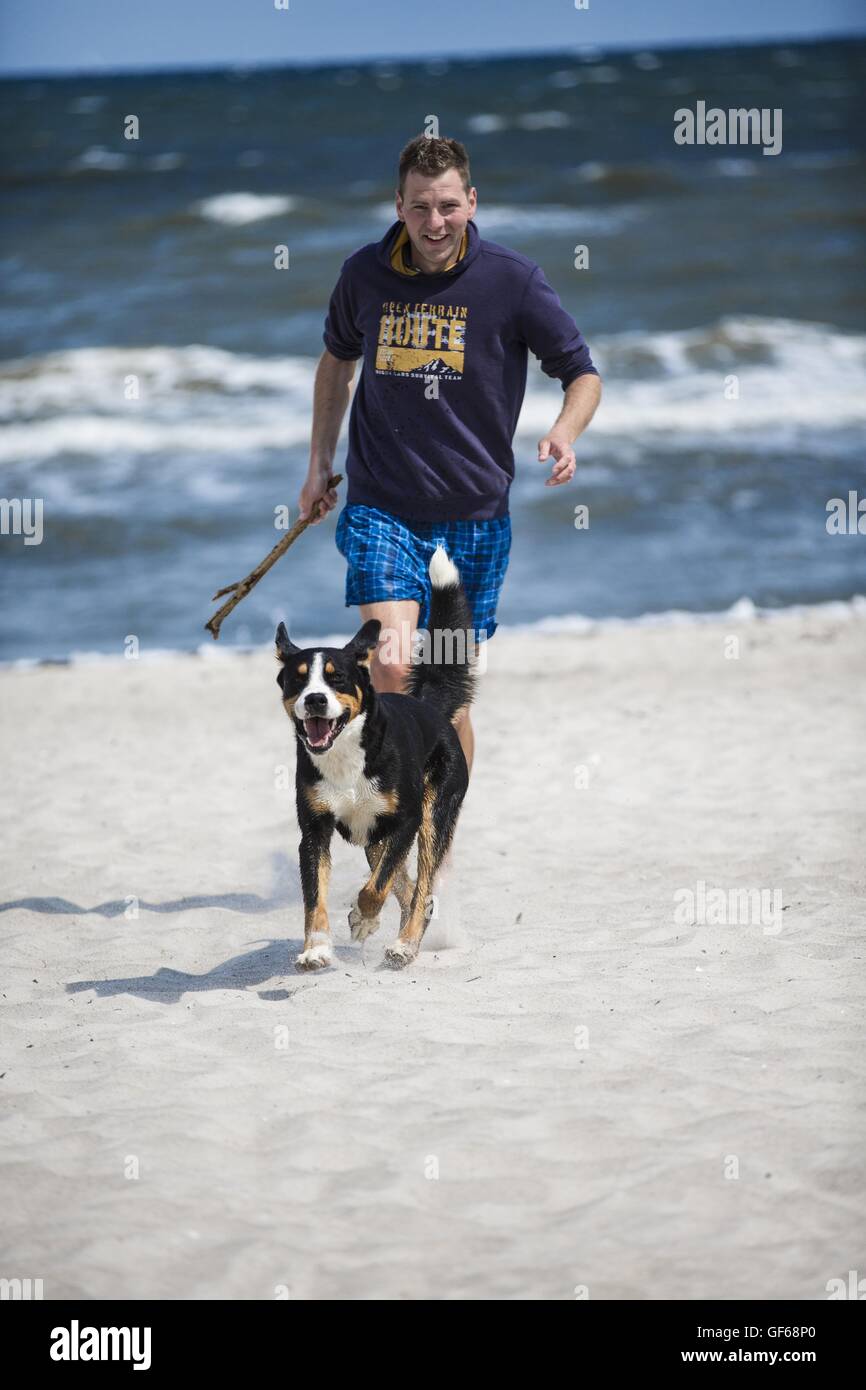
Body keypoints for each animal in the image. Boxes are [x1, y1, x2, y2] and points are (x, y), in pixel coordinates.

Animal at [276, 536, 478, 973]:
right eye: (297, 682)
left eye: (336, 678)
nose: (314, 700)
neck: (345, 757)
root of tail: (427, 706)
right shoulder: (314, 830)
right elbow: (315, 897)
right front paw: (316, 948)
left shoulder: (406, 819)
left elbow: (377, 888)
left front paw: (363, 920)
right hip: (372, 831)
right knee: (407, 884)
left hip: (434, 813)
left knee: (420, 885)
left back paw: (405, 944)